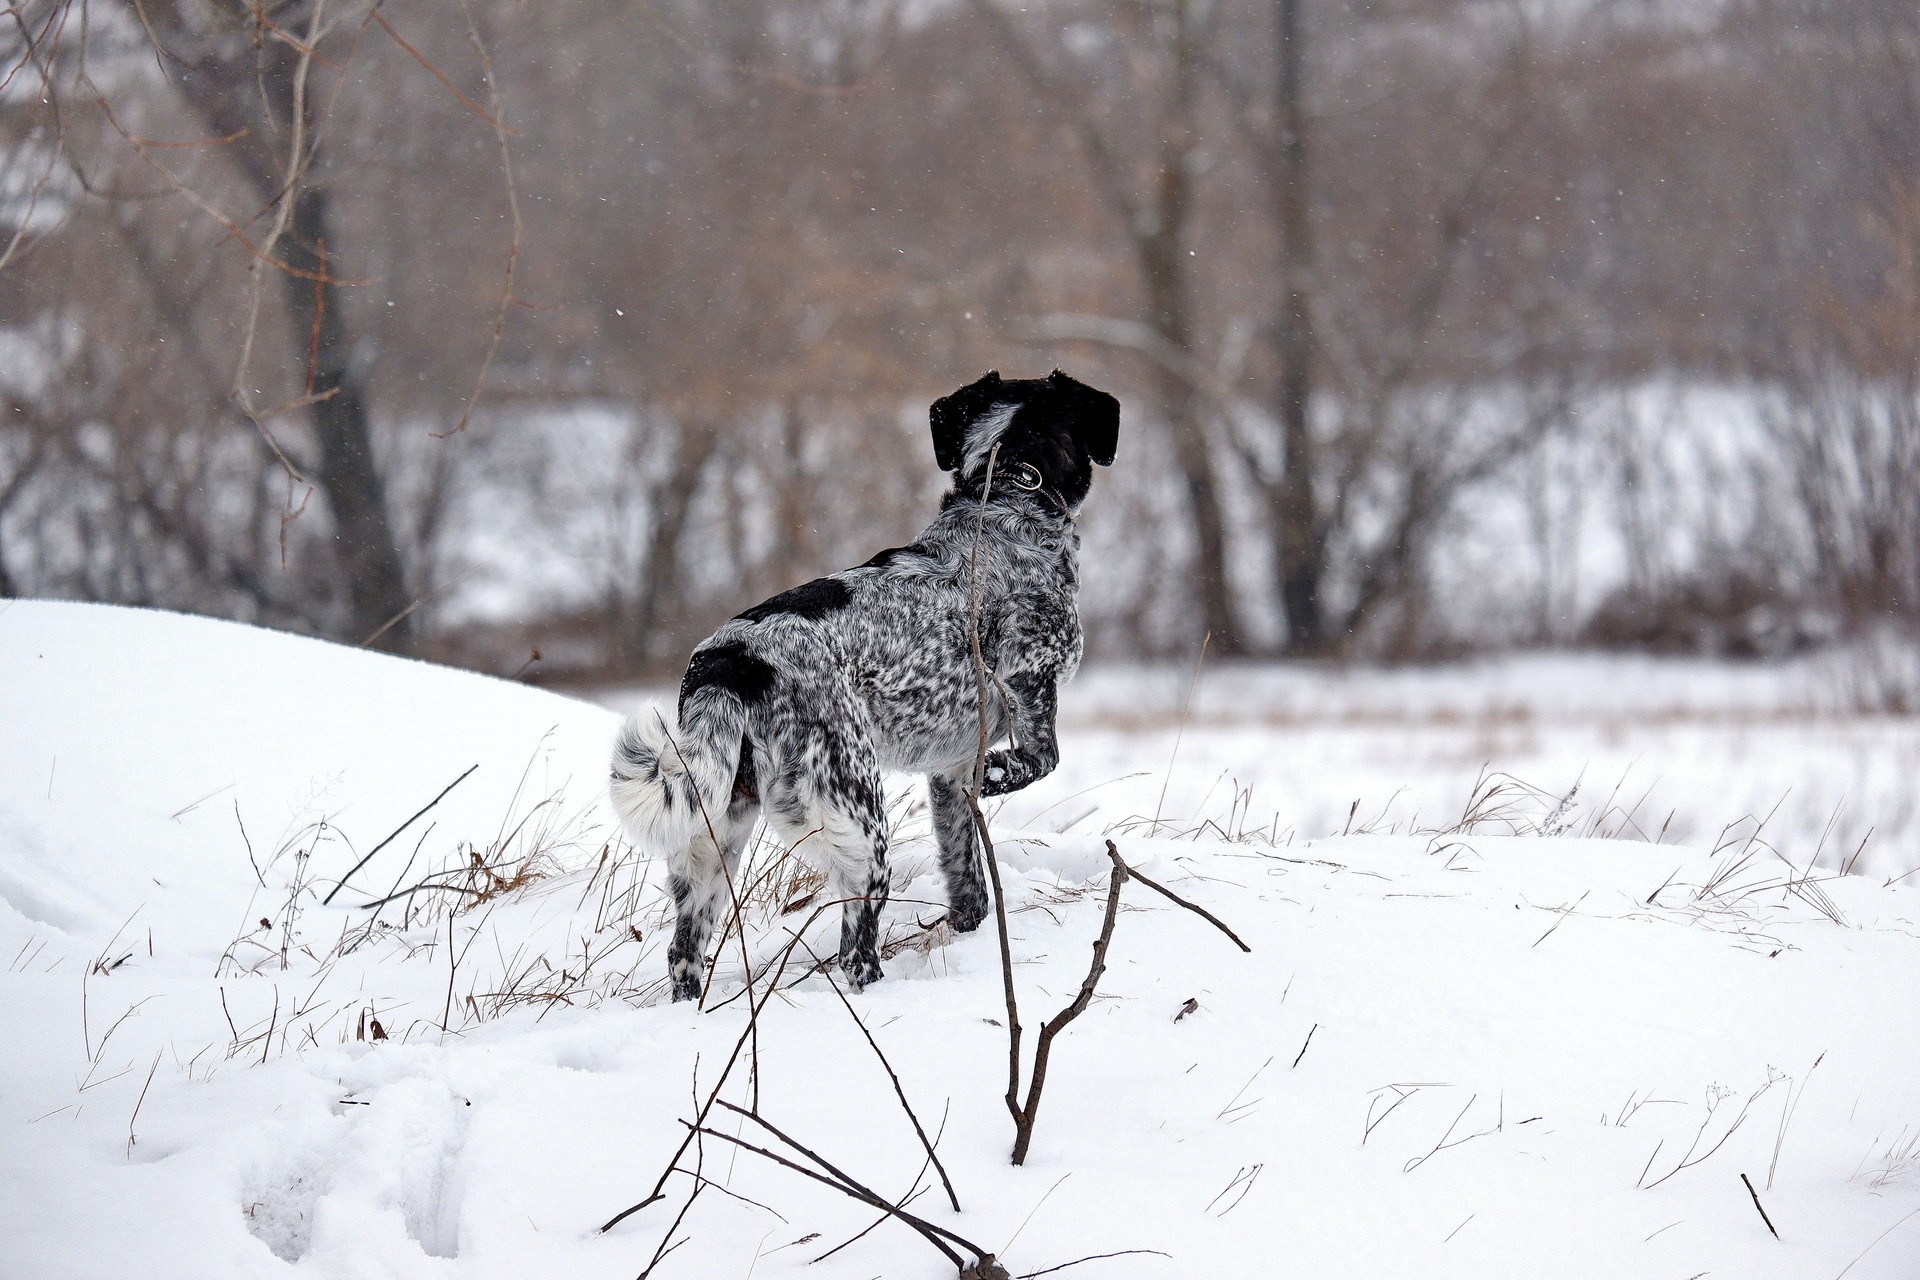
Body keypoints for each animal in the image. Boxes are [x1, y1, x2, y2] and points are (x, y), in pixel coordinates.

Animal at [606, 370, 1121, 997]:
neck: (1005, 494)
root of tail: (731, 660)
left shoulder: (949, 774)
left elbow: (967, 880)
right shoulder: (1031, 680)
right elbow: (1040, 760)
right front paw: (1003, 775)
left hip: (712, 835)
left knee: (684, 951)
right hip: (859, 823)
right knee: (856, 948)